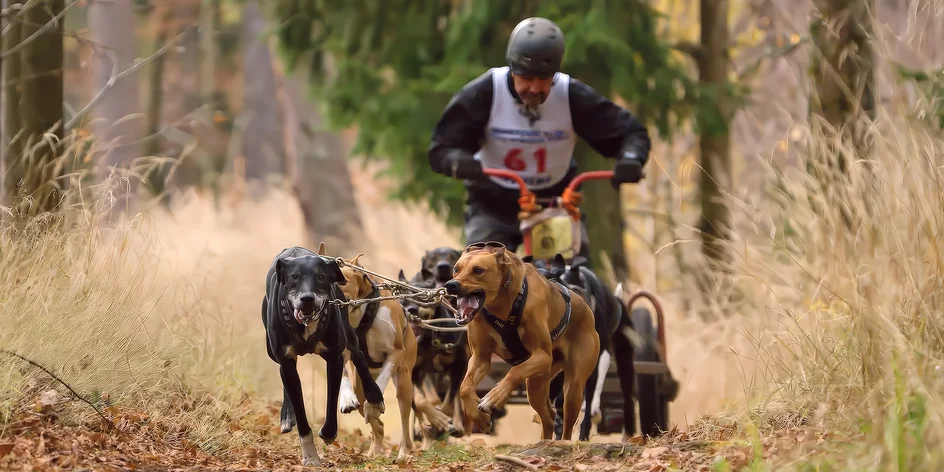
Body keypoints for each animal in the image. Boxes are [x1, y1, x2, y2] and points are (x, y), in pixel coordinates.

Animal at [262, 245, 388, 466]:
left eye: (320, 276)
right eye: (294, 276)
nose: (307, 298)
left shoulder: (334, 357)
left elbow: (331, 400)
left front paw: (328, 433)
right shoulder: (286, 361)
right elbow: (300, 410)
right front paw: (310, 456)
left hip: (348, 332)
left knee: (358, 355)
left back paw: (374, 397)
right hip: (272, 352)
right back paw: (287, 417)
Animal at [442, 242, 596, 440]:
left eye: (478, 270)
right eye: (456, 269)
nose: (451, 285)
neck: (501, 303)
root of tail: (586, 308)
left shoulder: (542, 356)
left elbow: (514, 372)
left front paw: (494, 397)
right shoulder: (480, 357)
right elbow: (465, 387)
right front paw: (479, 418)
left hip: (573, 386)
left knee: (567, 421)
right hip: (536, 382)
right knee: (548, 415)